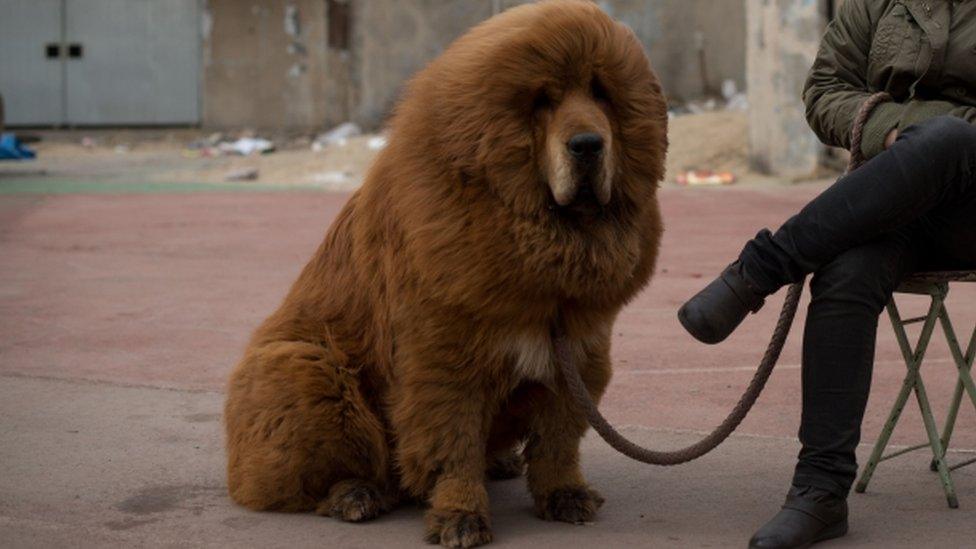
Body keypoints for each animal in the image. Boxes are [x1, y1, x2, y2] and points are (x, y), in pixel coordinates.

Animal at [225, 0, 668, 544]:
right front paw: (460, 516)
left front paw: (564, 494)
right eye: (542, 101)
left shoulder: (580, 352)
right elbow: (450, 444)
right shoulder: (444, 360)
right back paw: (356, 495)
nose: (587, 144)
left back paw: (499, 463)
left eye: (601, 93)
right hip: (304, 369)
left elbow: (558, 440)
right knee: (317, 475)